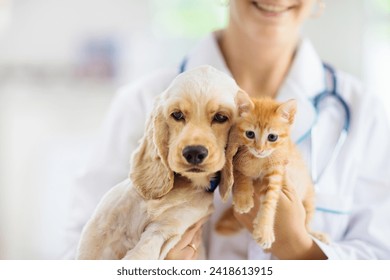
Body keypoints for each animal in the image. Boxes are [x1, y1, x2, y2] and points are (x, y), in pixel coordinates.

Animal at [75, 65, 241, 260]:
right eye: (177, 115)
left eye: (221, 117)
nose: (194, 153)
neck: (182, 185)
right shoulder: (101, 223)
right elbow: (87, 255)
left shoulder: (162, 231)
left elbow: (138, 255)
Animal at [216, 93, 326, 250]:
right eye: (250, 134)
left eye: (272, 137)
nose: (259, 149)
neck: (258, 160)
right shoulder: (236, 156)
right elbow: (240, 174)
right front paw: (243, 199)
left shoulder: (276, 171)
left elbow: (270, 201)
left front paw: (264, 230)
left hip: (309, 201)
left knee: (306, 227)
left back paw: (318, 235)